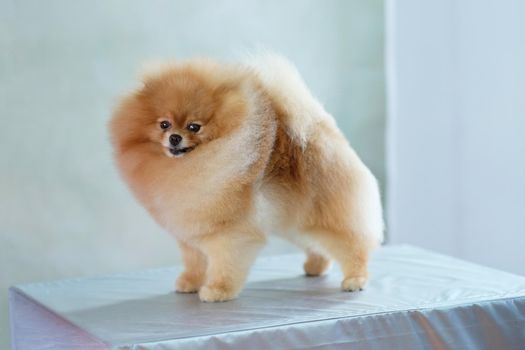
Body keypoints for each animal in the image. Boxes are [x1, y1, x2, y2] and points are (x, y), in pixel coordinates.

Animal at [109, 54, 380, 300]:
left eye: (194, 126)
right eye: (164, 124)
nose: (175, 138)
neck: (189, 166)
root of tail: (324, 131)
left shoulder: (230, 234)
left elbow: (224, 264)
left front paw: (217, 290)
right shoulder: (192, 233)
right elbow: (195, 261)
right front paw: (190, 282)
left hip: (324, 215)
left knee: (352, 245)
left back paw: (355, 279)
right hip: (295, 221)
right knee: (316, 244)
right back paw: (315, 267)